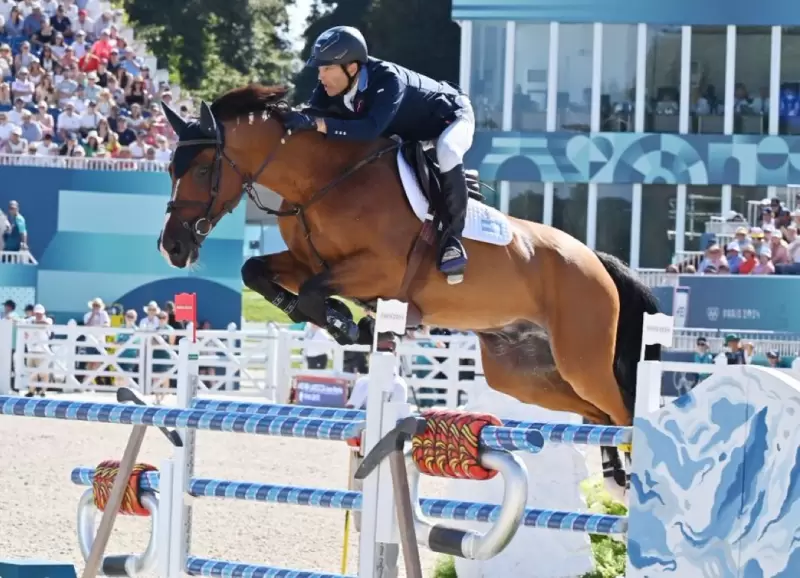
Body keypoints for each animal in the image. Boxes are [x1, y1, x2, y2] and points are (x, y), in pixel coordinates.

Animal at [158, 84, 664, 500]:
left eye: (201, 170)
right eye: (169, 169)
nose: (172, 247)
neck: (324, 182)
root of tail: (594, 258)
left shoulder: (378, 271)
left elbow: (315, 292)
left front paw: (349, 324)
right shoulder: (305, 262)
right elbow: (257, 272)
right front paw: (342, 321)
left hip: (581, 358)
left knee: (621, 408)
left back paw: (637, 478)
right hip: (523, 372)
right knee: (597, 414)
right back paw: (616, 479)